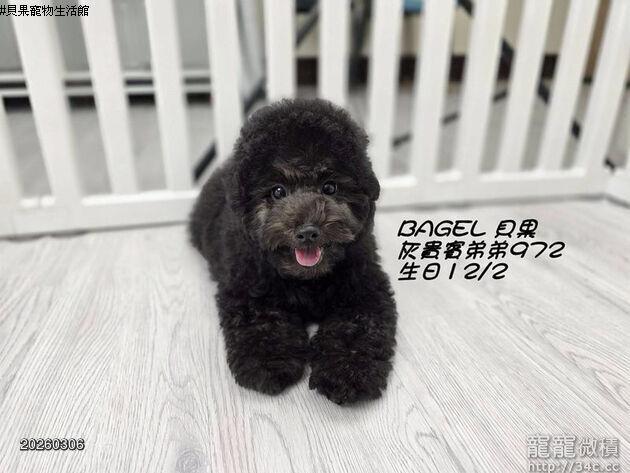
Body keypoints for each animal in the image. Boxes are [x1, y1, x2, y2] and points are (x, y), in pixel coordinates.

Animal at [189, 98, 397, 404]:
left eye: (330, 187)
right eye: (277, 191)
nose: (308, 231)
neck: (306, 280)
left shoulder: (364, 288)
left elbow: (357, 328)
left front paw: (347, 373)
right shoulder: (250, 289)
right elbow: (264, 325)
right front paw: (270, 364)